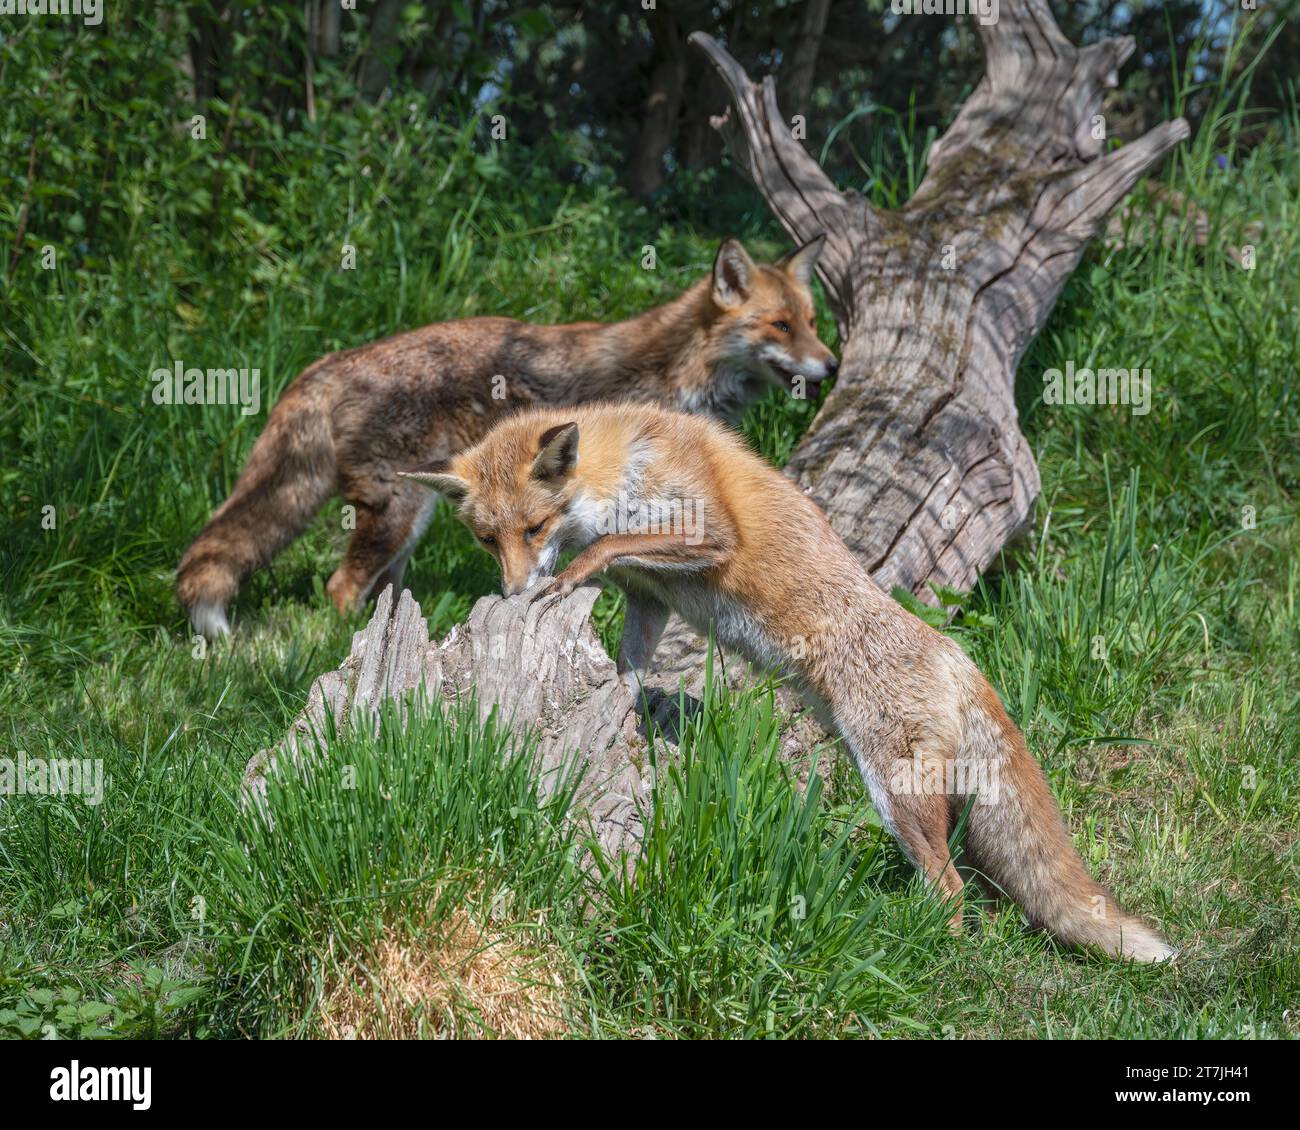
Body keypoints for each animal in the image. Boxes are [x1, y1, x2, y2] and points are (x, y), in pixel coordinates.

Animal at [178, 235, 837, 634]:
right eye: (780, 326)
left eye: (810, 320)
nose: (831, 366)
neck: (680, 367)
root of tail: (330, 361)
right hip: (399, 514)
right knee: (339, 588)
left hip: (406, 529)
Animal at [405, 400, 1180, 957]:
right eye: (486, 538)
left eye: (535, 528)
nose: (510, 594)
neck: (624, 462)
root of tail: (958, 658)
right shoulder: (651, 599)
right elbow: (629, 661)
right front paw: (621, 705)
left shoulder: (708, 531)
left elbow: (610, 544)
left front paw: (568, 576)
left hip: (893, 792)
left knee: (952, 890)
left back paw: (933, 958)